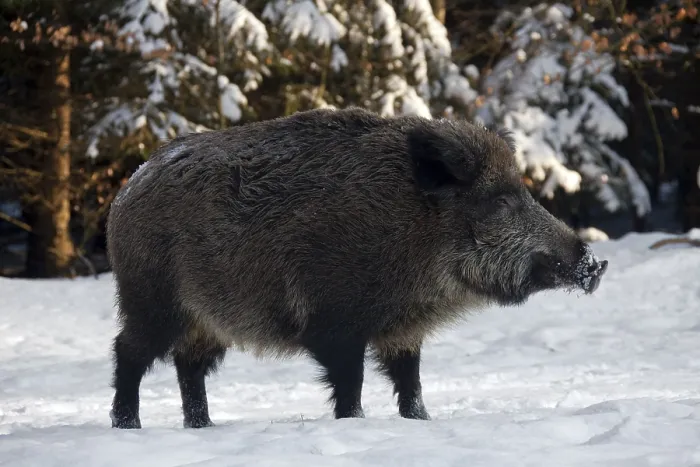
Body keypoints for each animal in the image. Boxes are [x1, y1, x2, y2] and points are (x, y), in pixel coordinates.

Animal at [106, 107, 608, 429]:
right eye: (501, 200)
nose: (595, 263)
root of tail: (126, 193)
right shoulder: (334, 325)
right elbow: (352, 384)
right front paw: (355, 423)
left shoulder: (403, 332)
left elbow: (411, 382)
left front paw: (421, 421)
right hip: (152, 302)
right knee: (128, 352)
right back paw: (127, 425)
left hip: (207, 323)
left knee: (188, 367)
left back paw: (203, 427)